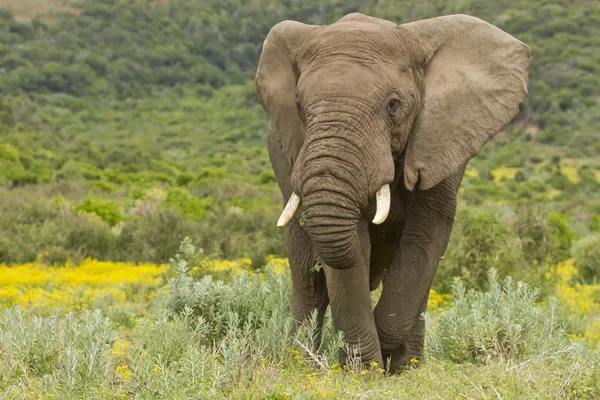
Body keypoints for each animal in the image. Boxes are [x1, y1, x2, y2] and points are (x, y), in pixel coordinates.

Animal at [253, 13, 528, 376]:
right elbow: (349, 245)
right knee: (309, 282)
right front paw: (364, 372)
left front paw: (386, 360)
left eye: (393, 105)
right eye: (298, 106)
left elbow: (425, 237)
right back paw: (300, 364)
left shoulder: (441, 140)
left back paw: (407, 365)